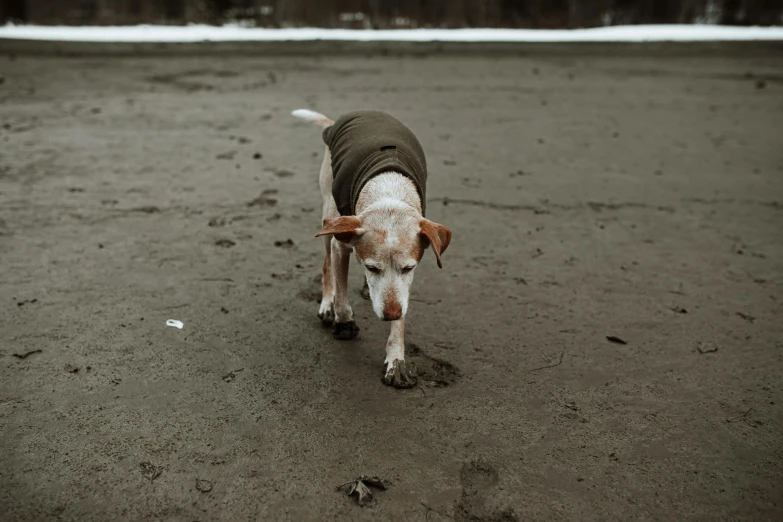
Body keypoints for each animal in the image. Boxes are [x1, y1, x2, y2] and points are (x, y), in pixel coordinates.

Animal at [292, 108, 454, 386]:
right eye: (372, 267)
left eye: (408, 268)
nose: (390, 314)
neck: (387, 193)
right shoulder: (340, 244)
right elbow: (342, 299)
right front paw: (344, 324)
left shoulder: (406, 282)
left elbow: (402, 313)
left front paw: (396, 360)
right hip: (327, 215)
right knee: (326, 266)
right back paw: (326, 303)